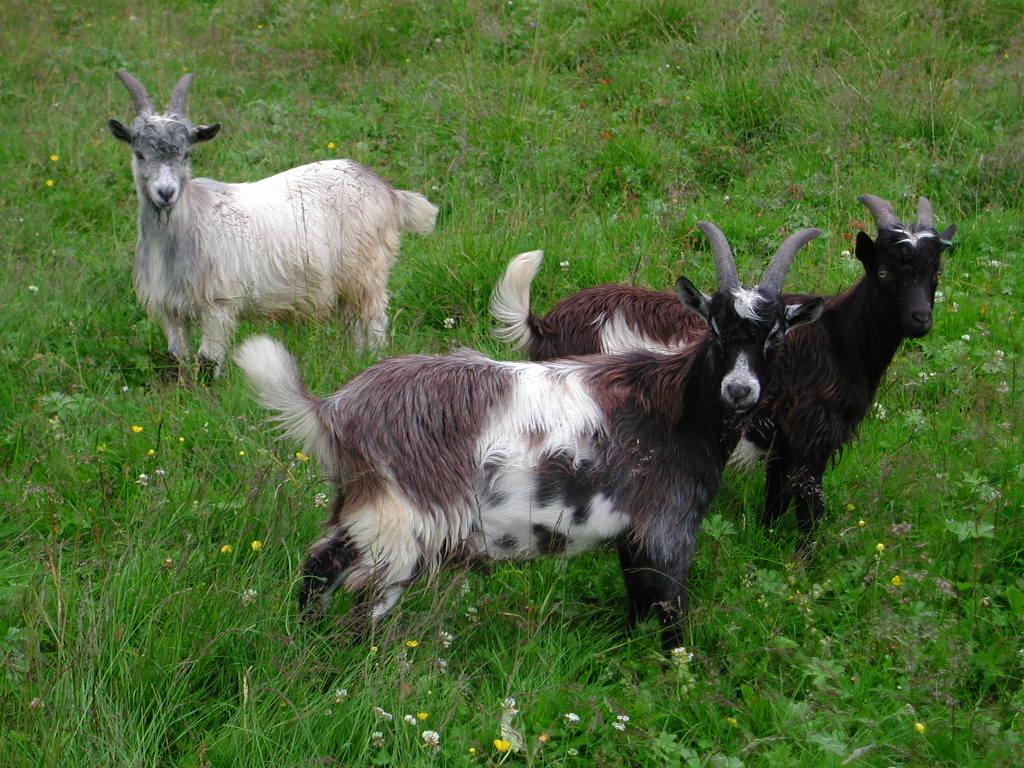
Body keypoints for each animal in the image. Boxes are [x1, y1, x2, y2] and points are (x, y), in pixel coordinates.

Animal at [108, 70, 436, 376]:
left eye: (187, 154)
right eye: (139, 154)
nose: (166, 193)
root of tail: (389, 193)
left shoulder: (218, 303)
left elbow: (207, 363)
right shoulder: (170, 310)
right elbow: (179, 360)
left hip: (367, 270)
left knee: (373, 321)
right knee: (354, 323)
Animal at [235, 224, 819, 651]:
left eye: (774, 334)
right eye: (715, 329)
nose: (740, 390)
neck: (674, 408)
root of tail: (335, 410)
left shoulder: (634, 536)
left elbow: (637, 605)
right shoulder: (666, 526)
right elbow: (672, 616)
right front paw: (676, 678)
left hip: (363, 512)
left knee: (318, 568)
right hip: (402, 529)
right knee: (361, 605)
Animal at [491, 195, 954, 536]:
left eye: (935, 271)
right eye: (883, 271)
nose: (920, 320)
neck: (835, 341)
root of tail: (546, 324)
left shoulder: (783, 444)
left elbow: (775, 502)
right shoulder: (811, 441)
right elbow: (810, 514)